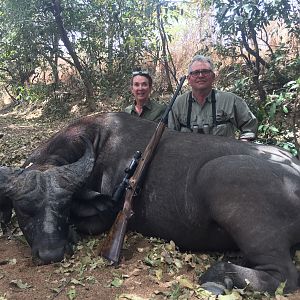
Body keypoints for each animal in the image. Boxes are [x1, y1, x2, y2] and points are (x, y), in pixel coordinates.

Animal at [0, 111, 300, 294]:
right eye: (23, 211)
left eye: (62, 206)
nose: (51, 253)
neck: (95, 143)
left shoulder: (104, 218)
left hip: (222, 178)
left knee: (285, 275)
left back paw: (218, 277)